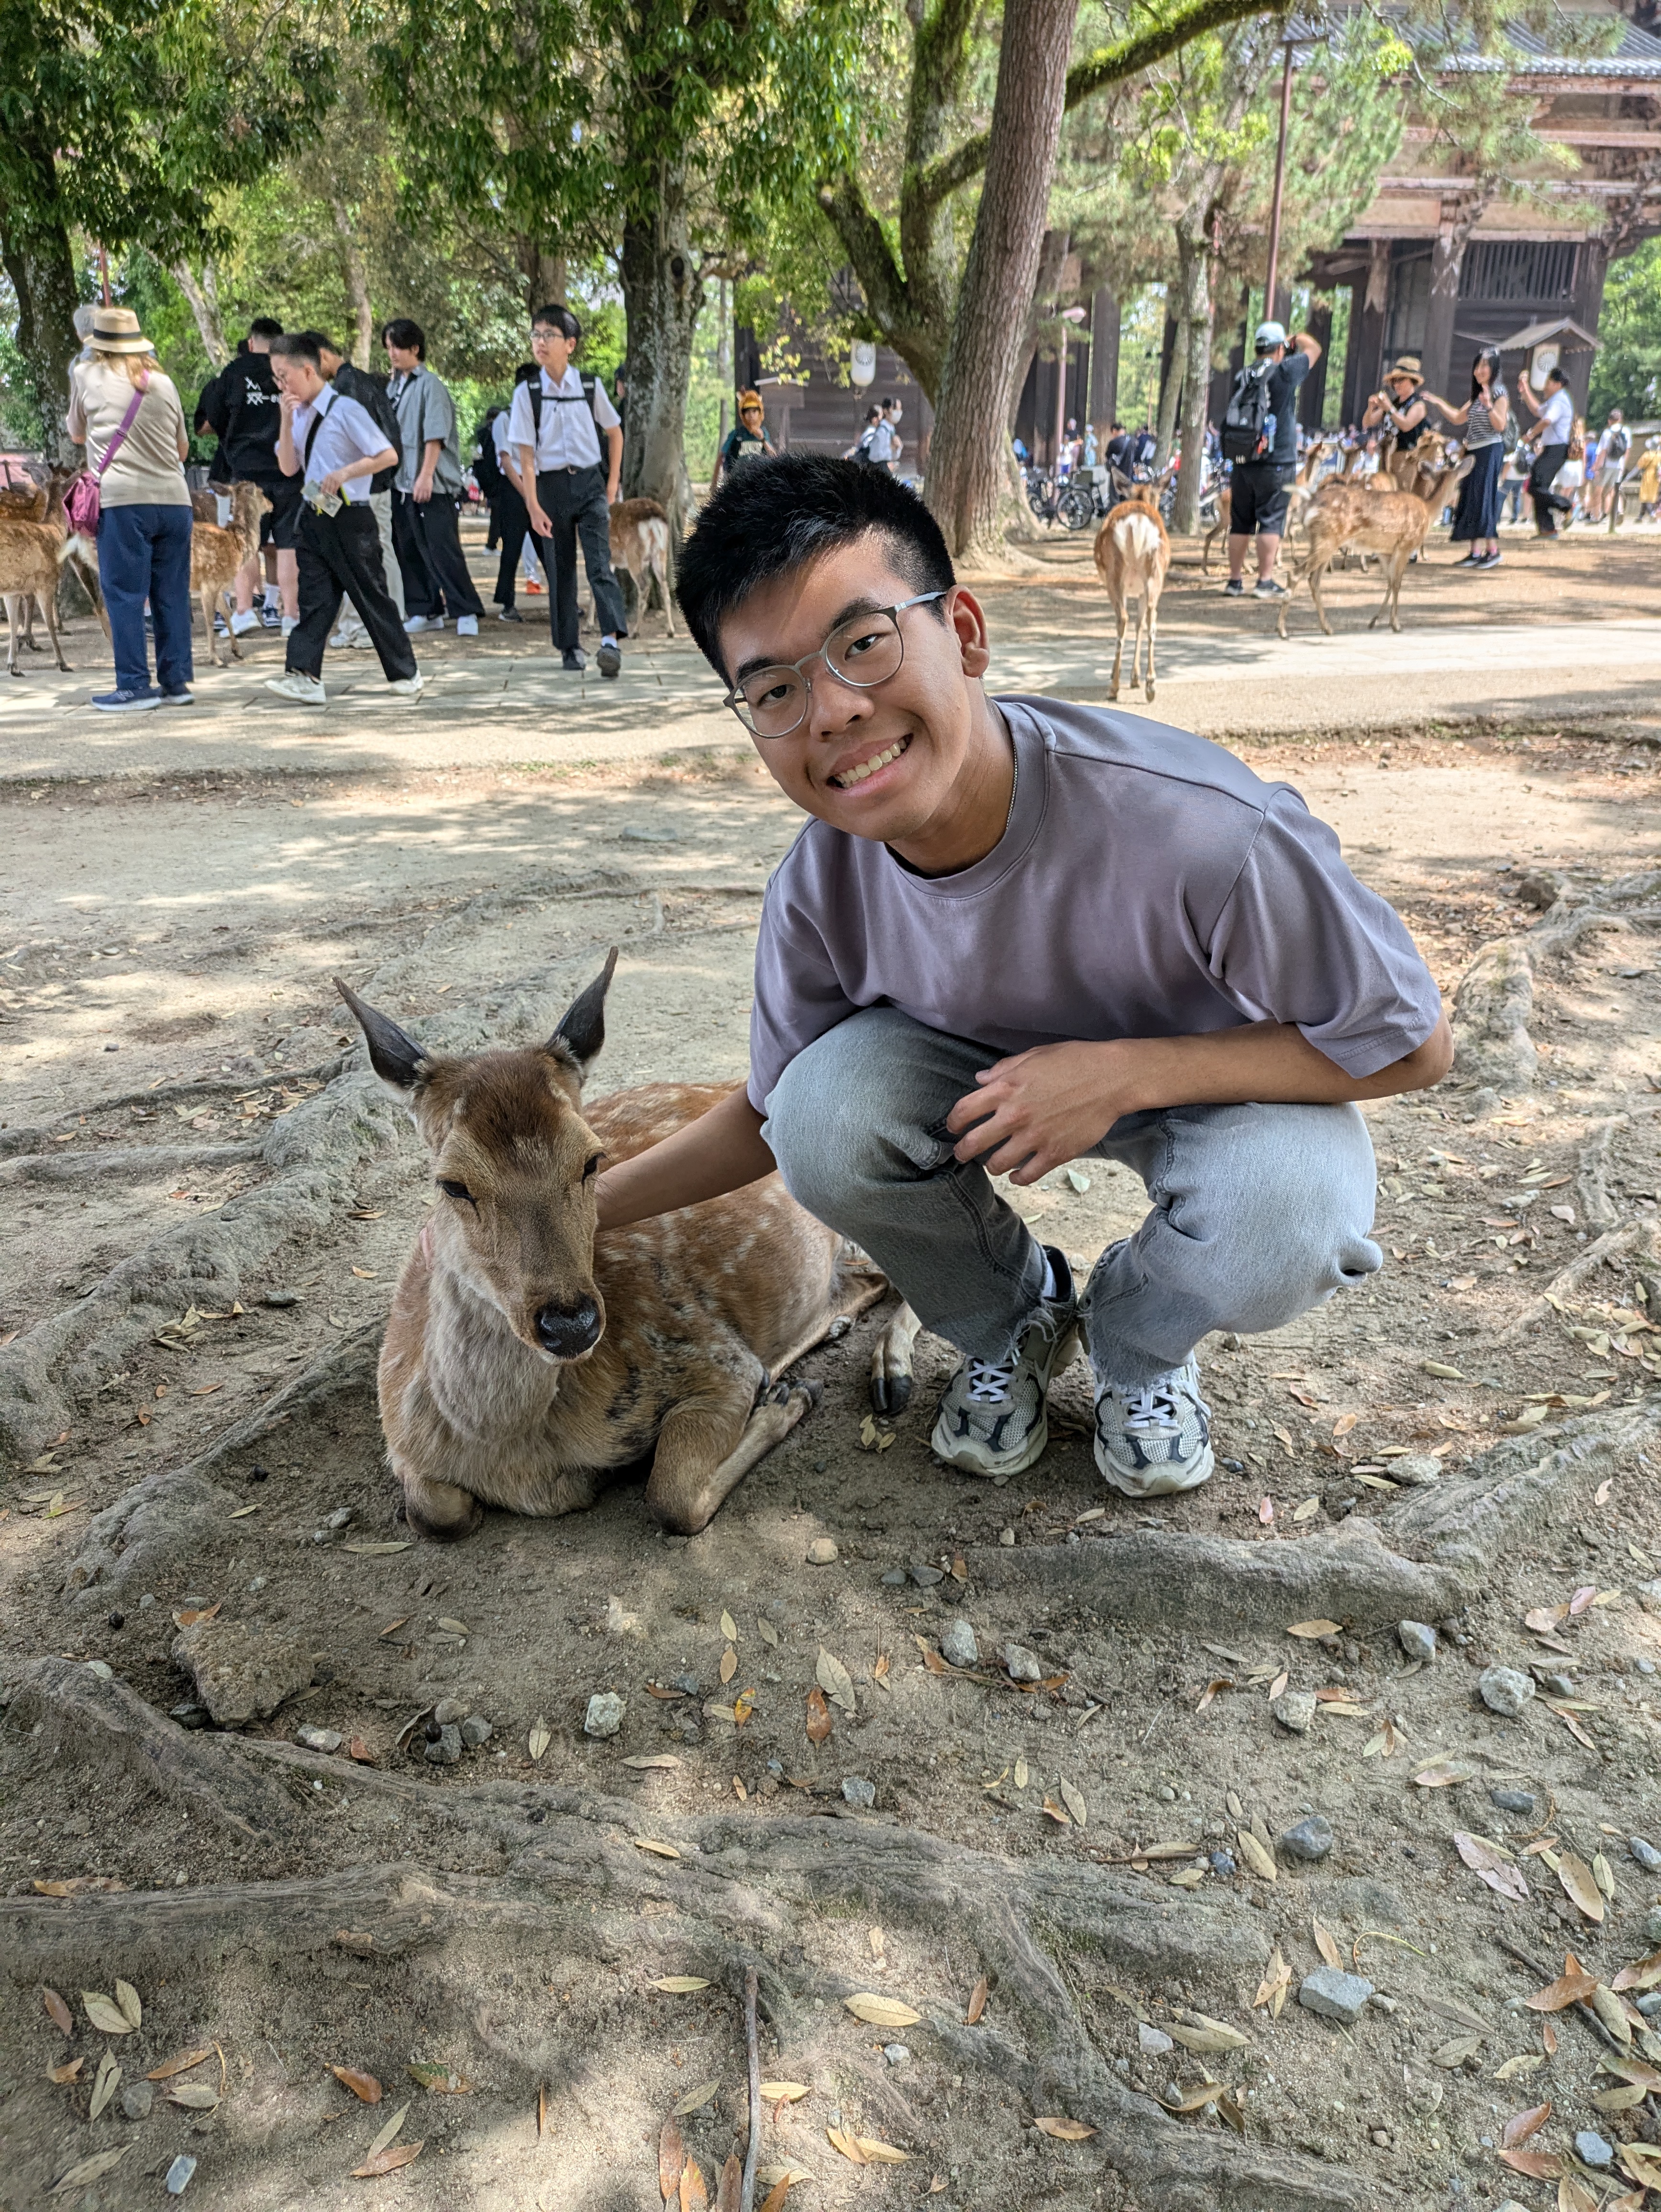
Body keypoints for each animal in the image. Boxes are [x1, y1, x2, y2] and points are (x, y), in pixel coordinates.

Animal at [192, 482, 272, 664]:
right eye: (262, 492)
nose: (272, 504)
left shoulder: (219, 586)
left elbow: (227, 612)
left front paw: (238, 651)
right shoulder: (209, 582)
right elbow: (210, 619)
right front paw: (216, 659)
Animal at [338, 952, 918, 1540]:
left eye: (592, 1159)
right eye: (451, 1184)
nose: (569, 1323)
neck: (516, 1455)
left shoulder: (710, 1356)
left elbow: (672, 1495)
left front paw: (788, 1397)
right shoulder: (402, 1439)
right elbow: (435, 1513)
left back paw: (884, 1373)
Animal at [1093, 485, 1169, 704]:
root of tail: (1138, 522)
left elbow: (1132, 624)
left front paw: (1125, 676)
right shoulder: (1142, 591)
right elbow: (1140, 625)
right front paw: (1136, 678)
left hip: (1114, 575)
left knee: (1123, 619)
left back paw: (1114, 688)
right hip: (1155, 575)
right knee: (1152, 621)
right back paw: (1151, 686)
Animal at [1278, 449, 1473, 639]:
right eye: (1458, 480)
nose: (1456, 497)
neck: (1428, 511)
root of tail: (1310, 502)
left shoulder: (1385, 551)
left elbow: (1389, 582)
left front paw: (1374, 621)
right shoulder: (1406, 545)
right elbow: (1397, 584)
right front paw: (1396, 624)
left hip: (1323, 541)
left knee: (1314, 580)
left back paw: (1327, 628)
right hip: (1327, 539)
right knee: (1295, 574)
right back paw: (1282, 630)